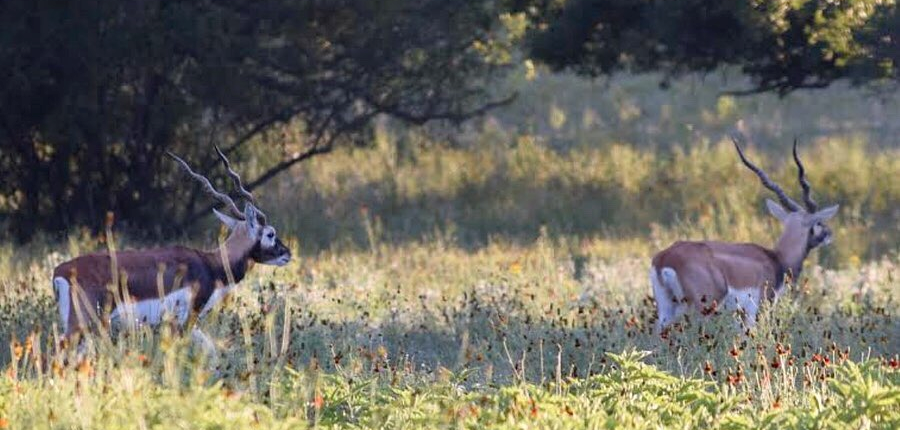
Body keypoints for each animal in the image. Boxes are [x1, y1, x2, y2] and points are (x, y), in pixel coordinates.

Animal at [51, 148, 292, 352]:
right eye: (270, 233)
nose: (287, 254)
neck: (211, 265)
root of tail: (59, 272)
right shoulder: (188, 316)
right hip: (83, 324)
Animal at [652, 140, 840, 332]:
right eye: (818, 222)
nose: (829, 234)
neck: (777, 259)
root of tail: (666, 257)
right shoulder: (758, 308)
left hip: (666, 308)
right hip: (703, 309)